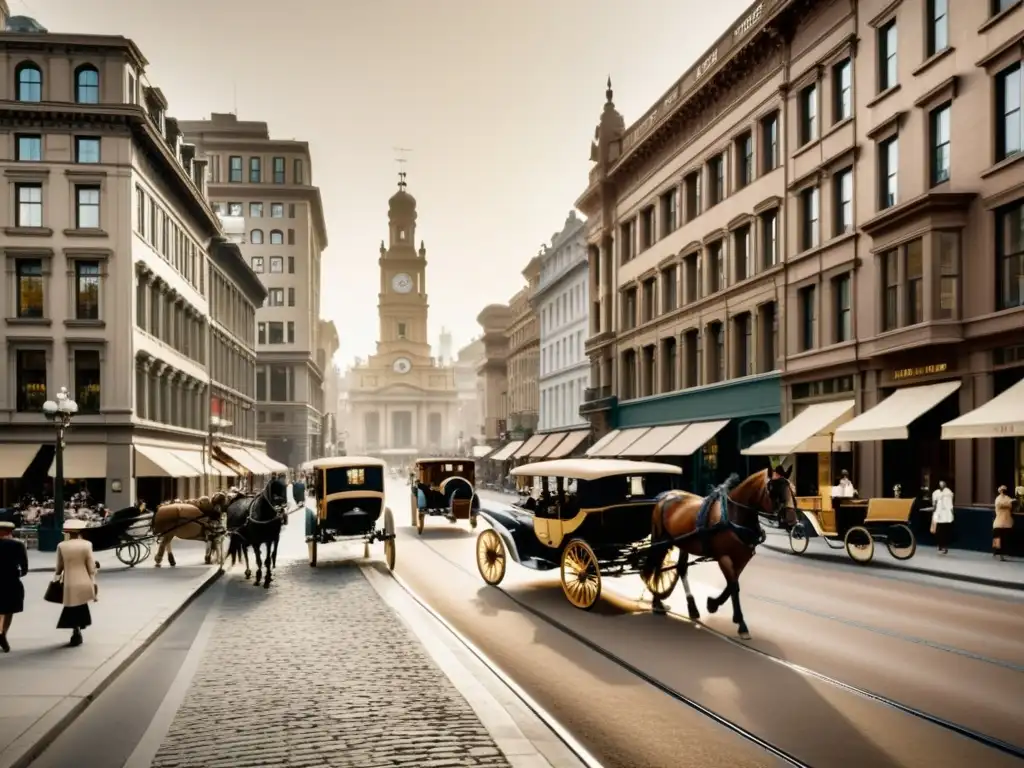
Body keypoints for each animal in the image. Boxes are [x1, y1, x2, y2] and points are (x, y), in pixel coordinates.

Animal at [634, 473, 794, 638]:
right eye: (772, 489)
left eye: (792, 489)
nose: (792, 520)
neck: (734, 517)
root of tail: (664, 497)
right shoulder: (724, 557)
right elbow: (733, 586)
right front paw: (741, 623)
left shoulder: (742, 558)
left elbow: (732, 585)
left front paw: (713, 604)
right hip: (661, 541)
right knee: (655, 567)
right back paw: (658, 603)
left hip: (683, 543)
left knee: (678, 568)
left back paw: (688, 607)